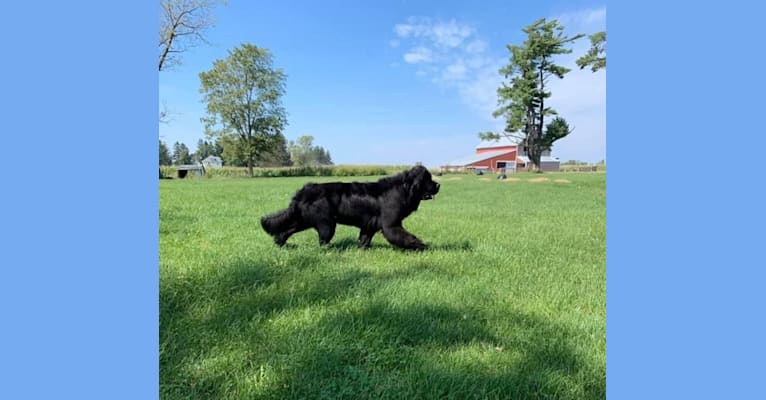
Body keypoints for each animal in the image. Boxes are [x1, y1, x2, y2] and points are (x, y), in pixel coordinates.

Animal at [262, 166, 440, 250]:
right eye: (428, 179)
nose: (438, 185)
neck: (403, 188)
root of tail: (303, 191)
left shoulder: (370, 225)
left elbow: (365, 238)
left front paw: (362, 249)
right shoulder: (391, 225)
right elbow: (404, 236)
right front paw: (421, 246)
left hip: (304, 219)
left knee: (286, 230)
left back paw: (280, 244)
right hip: (326, 224)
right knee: (323, 240)